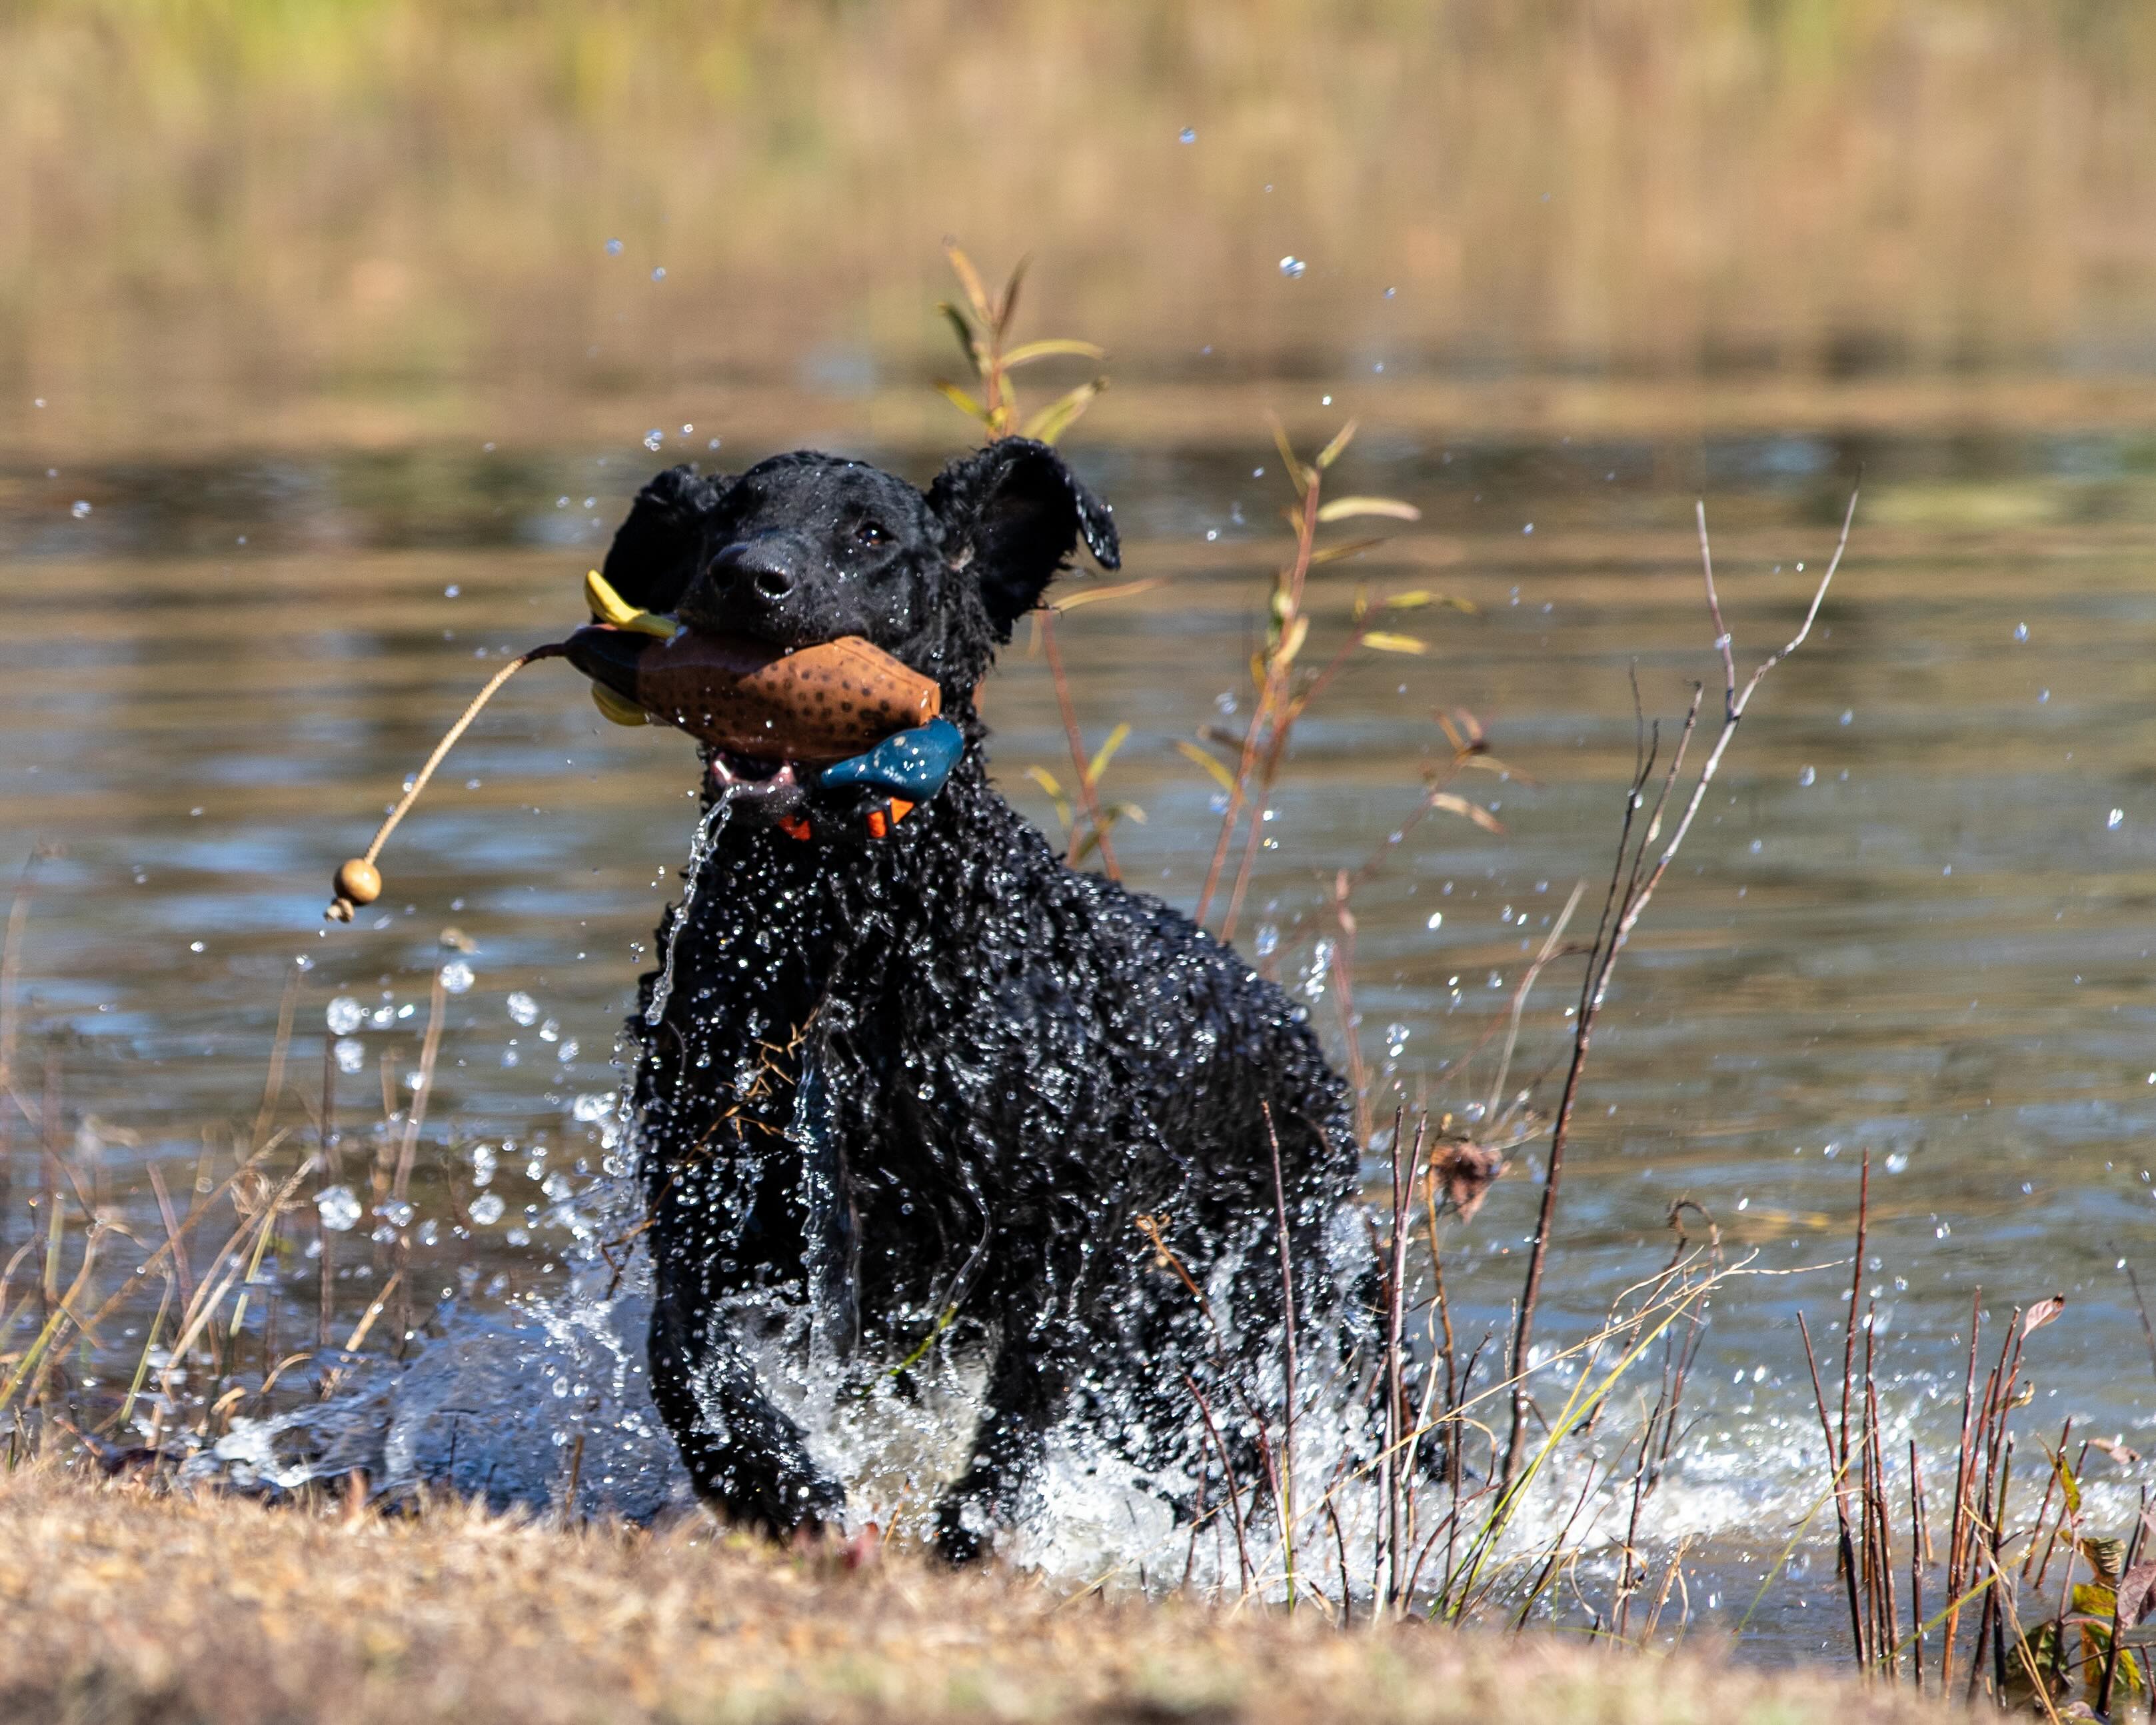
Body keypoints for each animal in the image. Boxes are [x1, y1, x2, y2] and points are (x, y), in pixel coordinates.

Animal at [603, 437, 1362, 1552]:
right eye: (724, 520)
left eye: (871, 533)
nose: (749, 576)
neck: (848, 933)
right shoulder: (707, 1206)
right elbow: (684, 1359)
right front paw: (778, 1487)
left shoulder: (1060, 1231)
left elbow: (1021, 1407)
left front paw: (968, 1533)